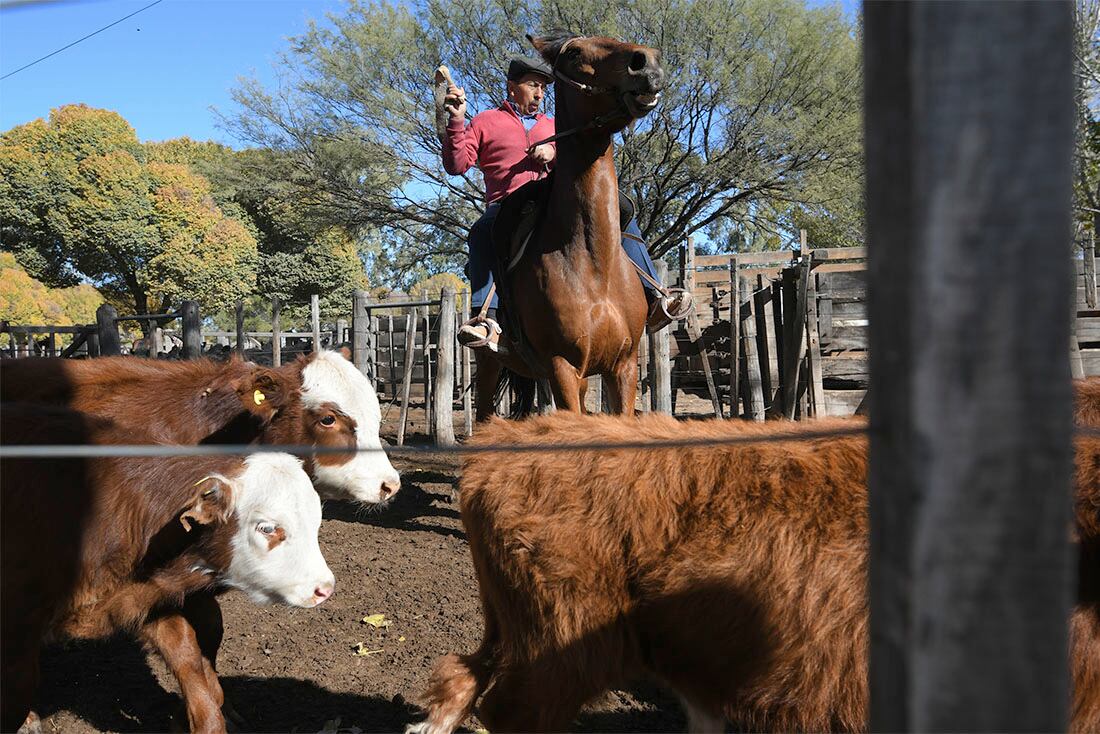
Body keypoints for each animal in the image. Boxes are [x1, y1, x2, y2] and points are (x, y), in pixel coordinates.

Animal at [470, 33, 660, 418]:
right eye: (573, 53)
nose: (646, 62)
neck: (593, 264)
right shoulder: (562, 368)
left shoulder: (623, 367)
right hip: (491, 365)